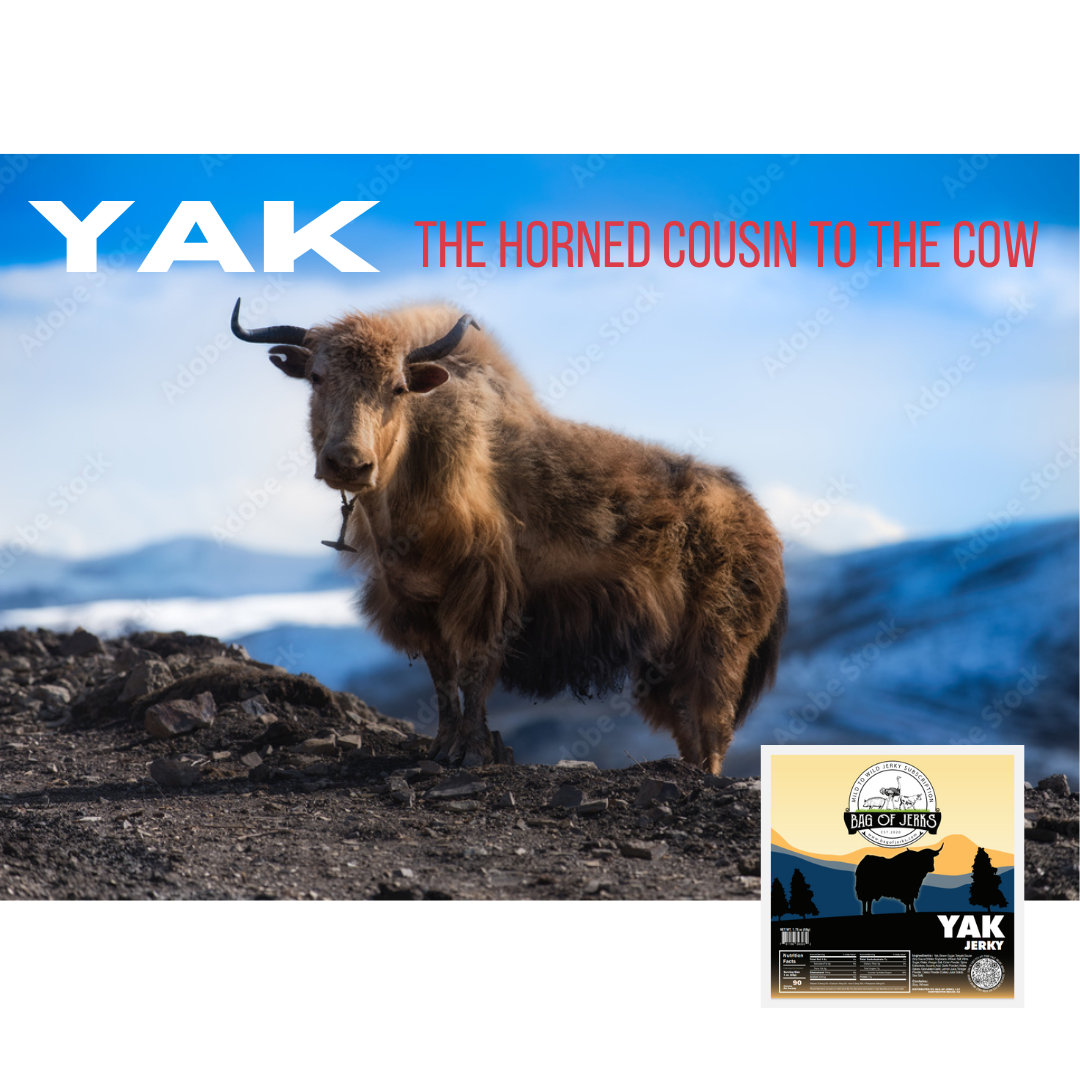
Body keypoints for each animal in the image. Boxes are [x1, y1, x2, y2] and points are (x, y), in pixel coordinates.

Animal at [231, 300, 788, 773]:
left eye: (397, 387)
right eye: (316, 378)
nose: (349, 463)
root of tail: (761, 523)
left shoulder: (483, 591)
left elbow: (474, 672)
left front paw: (473, 753)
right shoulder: (417, 601)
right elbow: (441, 677)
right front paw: (442, 747)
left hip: (719, 642)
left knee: (712, 721)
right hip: (667, 658)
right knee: (688, 720)